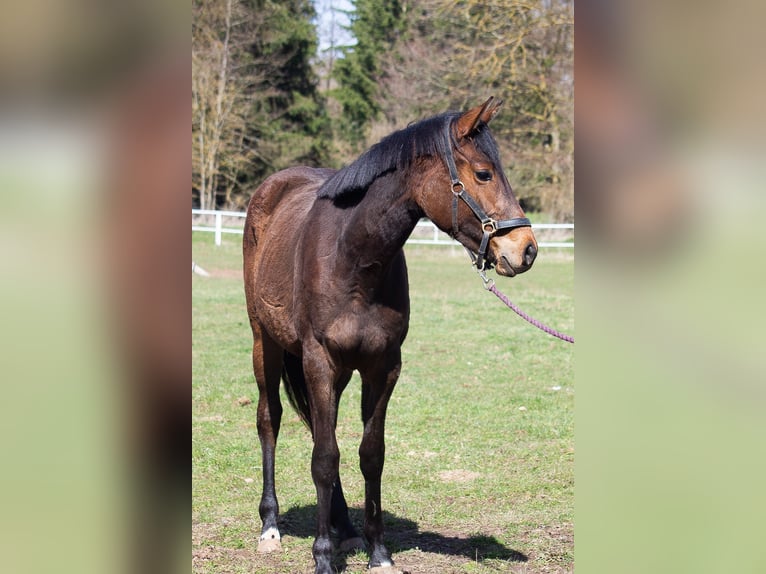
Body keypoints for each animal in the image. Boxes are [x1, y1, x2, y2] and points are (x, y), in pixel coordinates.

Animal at [243, 97, 538, 574]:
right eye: (483, 174)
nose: (526, 249)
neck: (352, 258)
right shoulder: (318, 360)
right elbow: (324, 458)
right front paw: (323, 557)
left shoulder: (382, 367)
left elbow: (369, 454)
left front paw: (377, 551)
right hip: (264, 343)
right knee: (270, 421)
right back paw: (271, 526)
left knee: (321, 431)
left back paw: (343, 525)